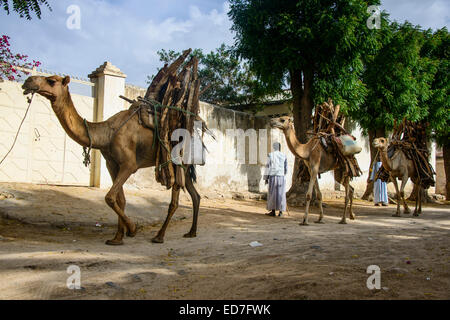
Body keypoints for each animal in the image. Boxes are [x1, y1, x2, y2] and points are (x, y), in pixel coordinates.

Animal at [21, 75, 200, 245]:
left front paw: (132, 229)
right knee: (195, 195)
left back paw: (159, 236)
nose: (27, 81)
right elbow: (120, 199)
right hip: (185, 166)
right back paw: (191, 232)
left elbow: (109, 197)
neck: (107, 134)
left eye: (51, 80)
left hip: (177, 160)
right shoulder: (112, 164)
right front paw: (117, 238)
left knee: (175, 197)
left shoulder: (129, 164)